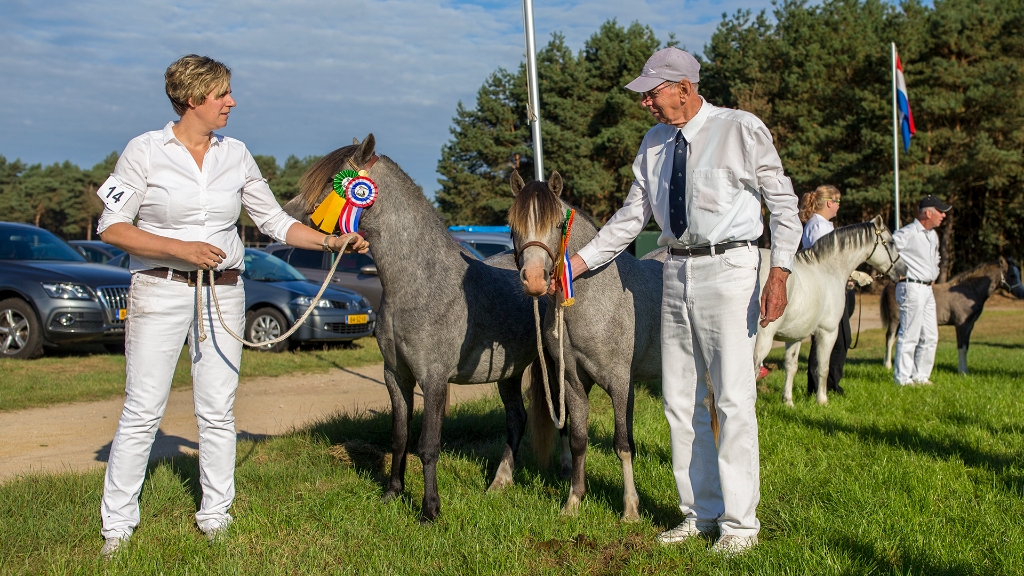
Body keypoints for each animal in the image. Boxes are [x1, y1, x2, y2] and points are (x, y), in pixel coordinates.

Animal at [284, 135, 544, 520]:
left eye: (330, 181)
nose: (285, 216)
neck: (420, 283)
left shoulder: (433, 379)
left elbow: (428, 444)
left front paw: (429, 511)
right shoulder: (396, 375)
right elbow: (399, 437)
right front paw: (392, 493)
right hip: (508, 373)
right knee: (517, 419)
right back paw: (499, 483)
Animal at [749, 215, 909, 403]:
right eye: (891, 242)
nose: (903, 270)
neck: (828, 270)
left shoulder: (795, 335)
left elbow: (791, 366)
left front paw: (788, 401)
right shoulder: (828, 332)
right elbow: (823, 368)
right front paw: (822, 400)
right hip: (763, 338)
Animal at [880, 255, 1024, 373]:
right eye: (1012, 275)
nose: (1021, 293)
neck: (968, 290)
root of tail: (890, 284)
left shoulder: (970, 326)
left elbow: (966, 346)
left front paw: (965, 370)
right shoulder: (961, 325)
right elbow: (961, 347)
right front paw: (962, 371)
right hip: (895, 320)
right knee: (889, 338)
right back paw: (887, 366)